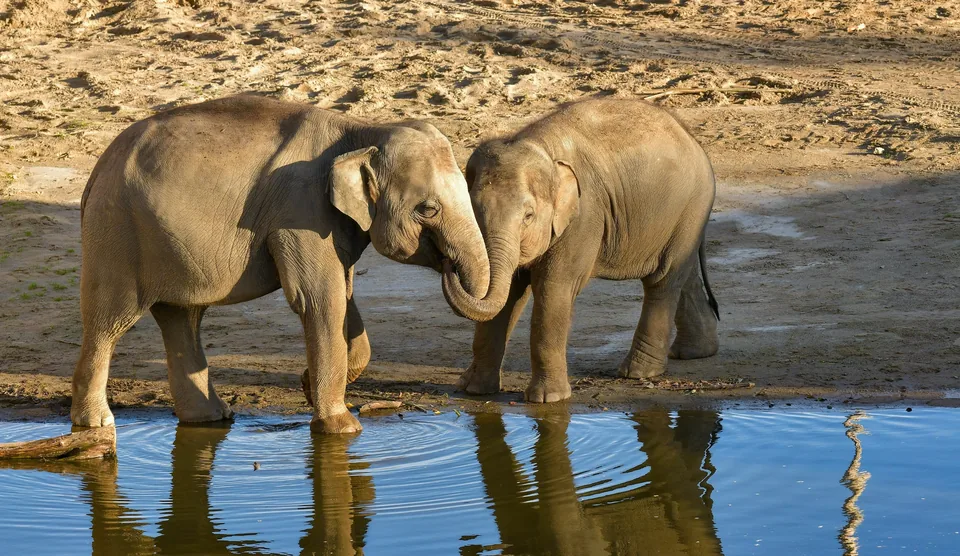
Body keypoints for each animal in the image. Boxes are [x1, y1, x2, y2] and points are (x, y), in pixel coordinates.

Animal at [71, 94, 489, 434]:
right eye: (427, 209)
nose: (448, 266)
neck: (361, 129)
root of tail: (96, 172)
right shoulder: (300, 210)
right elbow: (320, 299)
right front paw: (342, 427)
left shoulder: (330, 222)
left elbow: (343, 295)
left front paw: (308, 386)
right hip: (117, 232)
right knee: (110, 320)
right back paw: (96, 424)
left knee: (181, 318)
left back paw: (211, 419)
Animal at [442, 98, 719, 403]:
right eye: (472, 209)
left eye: (528, 216)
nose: (448, 262)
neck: (539, 145)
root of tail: (693, 140)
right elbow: (509, 296)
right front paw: (472, 390)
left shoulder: (584, 216)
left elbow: (553, 288)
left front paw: (549, 399)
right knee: (684, 273)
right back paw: (694, 353)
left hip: (690, 206)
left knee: (663, 279)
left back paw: (637, 373)